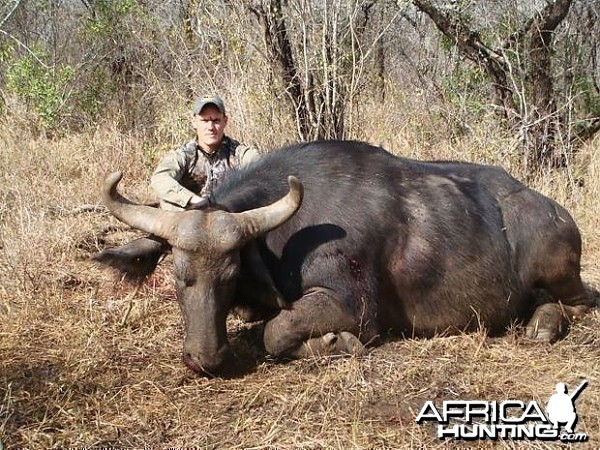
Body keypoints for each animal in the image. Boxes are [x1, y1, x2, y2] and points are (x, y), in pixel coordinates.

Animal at [98, 141, 592, 376]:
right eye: (179, 277)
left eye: (230, 274)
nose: (205, 358)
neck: (283, 236)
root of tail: (554, 210)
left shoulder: (353, 308)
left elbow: (275, 333)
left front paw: (336, 343)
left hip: (562, 272)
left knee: (580, 303)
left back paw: (545, 325)